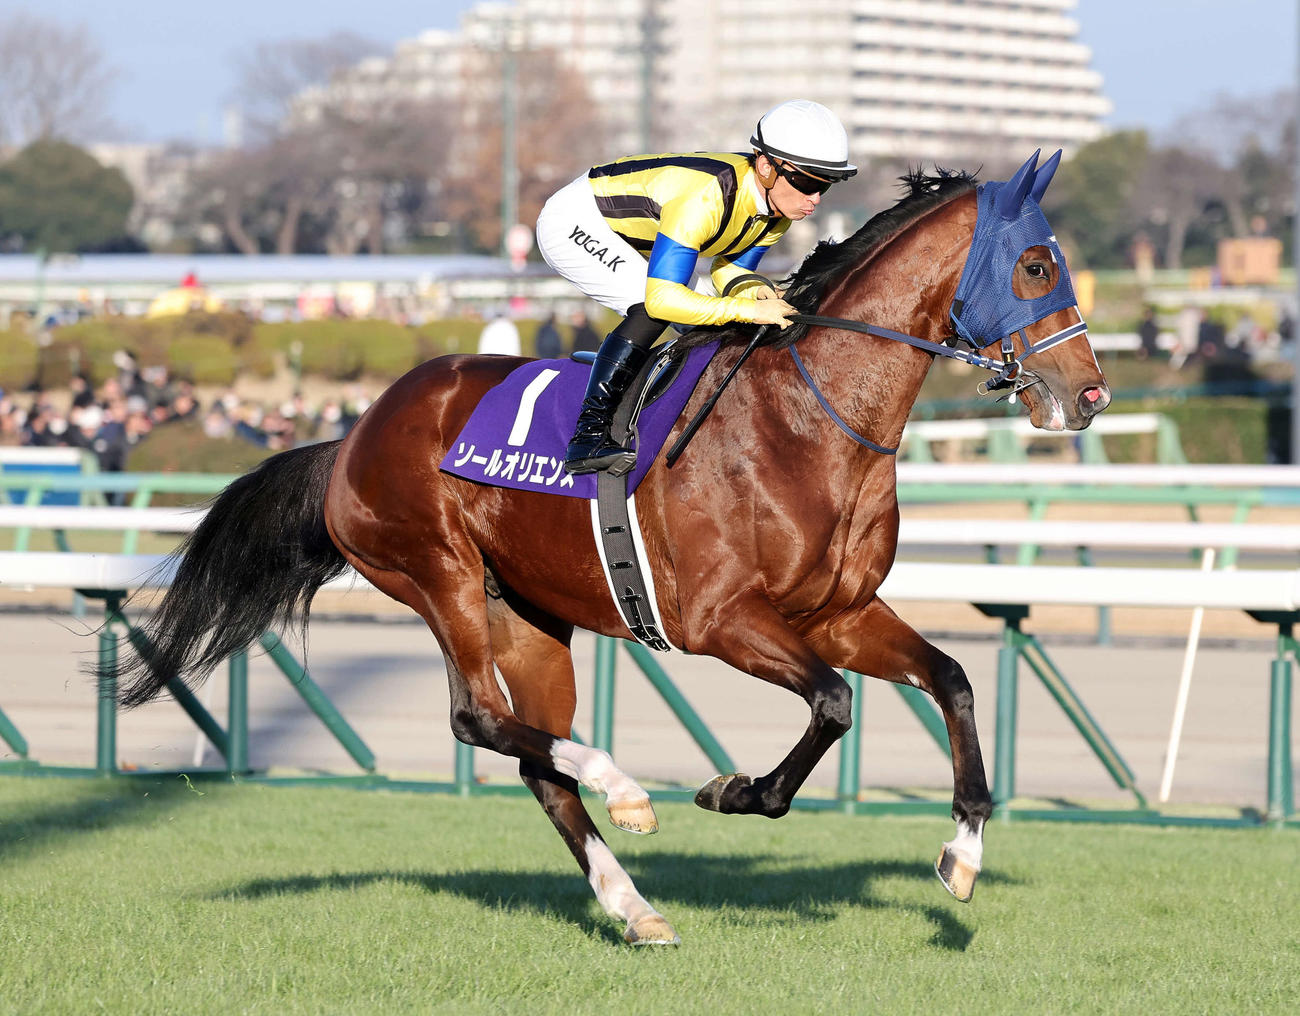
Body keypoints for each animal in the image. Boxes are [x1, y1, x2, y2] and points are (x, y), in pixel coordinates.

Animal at [117, 154, 1109, 946]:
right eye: (1036, 265)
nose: (1090, 394)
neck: (807, 422)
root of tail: (352, 434)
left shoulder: (838, 613)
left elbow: (951, 679)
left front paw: (962, 852)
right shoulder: (718, 619)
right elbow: (832, 705)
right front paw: (735, 791)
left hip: (530, 613)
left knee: (535, 758)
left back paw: (633, 906)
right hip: (439, 573)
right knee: (478, 719)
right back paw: (625, 790)